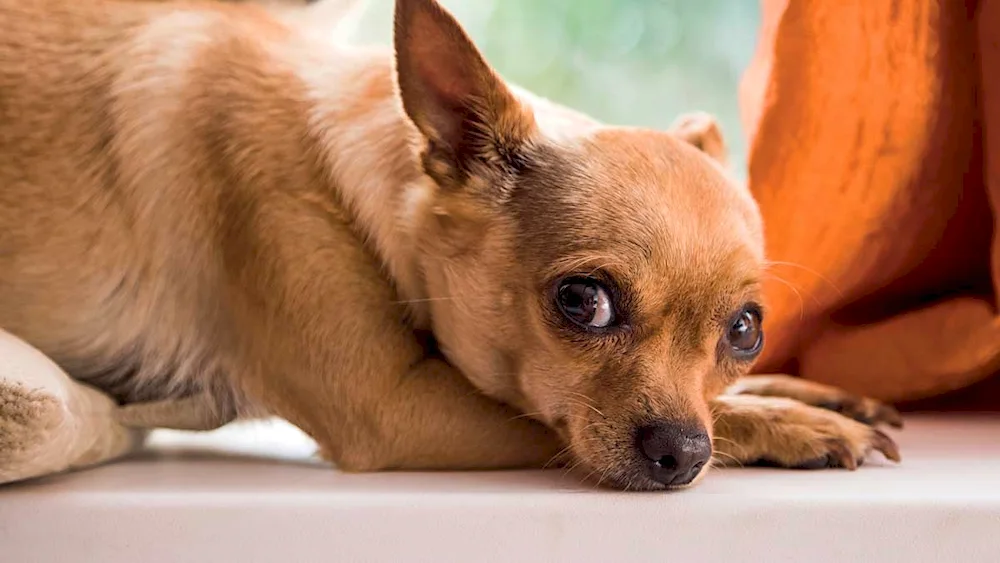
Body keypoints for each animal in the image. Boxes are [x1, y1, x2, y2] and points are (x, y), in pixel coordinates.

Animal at [0, 0, 904, 492]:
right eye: (582, 301)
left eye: (745, 331)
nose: (682, 454)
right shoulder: (396, 409)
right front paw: (793, 422)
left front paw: (807, 392)